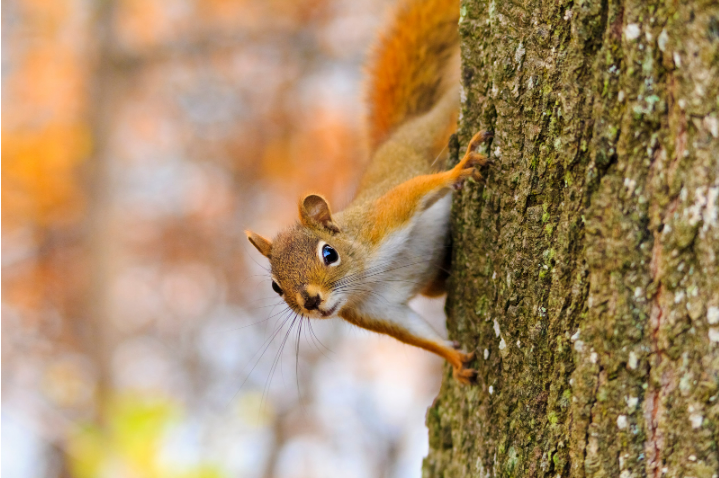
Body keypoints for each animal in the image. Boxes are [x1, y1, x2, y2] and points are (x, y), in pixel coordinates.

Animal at [245, 0, 490, 384]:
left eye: (329, 254)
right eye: (275, 287)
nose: (311, 301)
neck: (364, 280)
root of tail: (395, 135)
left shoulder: (382, 219)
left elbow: (415, 191)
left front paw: (459, 168)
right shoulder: (376, 311)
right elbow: (417, 335)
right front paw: (454, 359)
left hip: (433, 131)